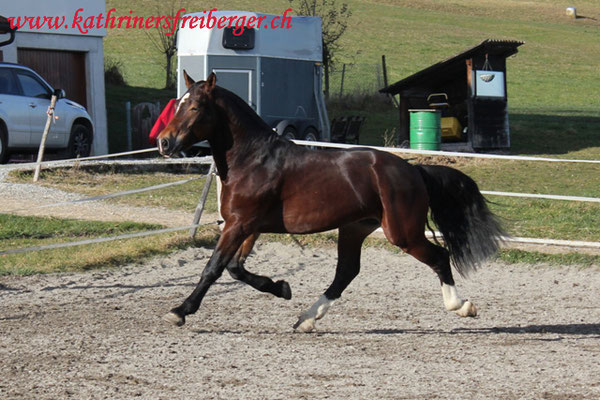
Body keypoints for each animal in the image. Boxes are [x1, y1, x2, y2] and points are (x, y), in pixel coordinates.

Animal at [157, 71, 504, 332]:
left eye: (195, 107)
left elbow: (214, 268)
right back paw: (307, 319)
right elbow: (234, 268)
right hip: (354, 228)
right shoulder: (245, 226)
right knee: (345, 273)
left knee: (439, 257)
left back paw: (461, 306)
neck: (252, 159)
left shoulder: (240, 224)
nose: (164, 142)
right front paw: (281, 287)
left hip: (402, 233)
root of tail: (413, 169)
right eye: (179, 104)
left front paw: (180, 310)